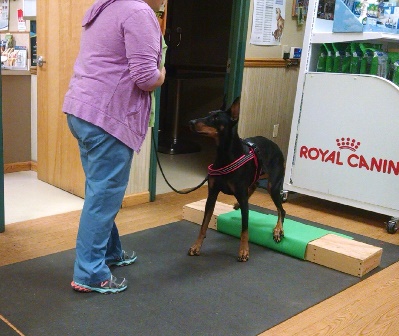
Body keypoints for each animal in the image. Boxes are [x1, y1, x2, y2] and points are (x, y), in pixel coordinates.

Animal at [188, 96, 286, 262]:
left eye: (215, 118)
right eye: (208, 114)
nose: (191, 122)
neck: (224, 155)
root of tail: (277, 146)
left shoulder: (241, 195)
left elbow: (244, 229)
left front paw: (244, 251)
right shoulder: (212, 194)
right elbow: (203, 224)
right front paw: (196, 246)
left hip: (273, 186)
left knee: (281, 210)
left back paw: (278, 230)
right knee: (254, 185)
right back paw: (238, 204)